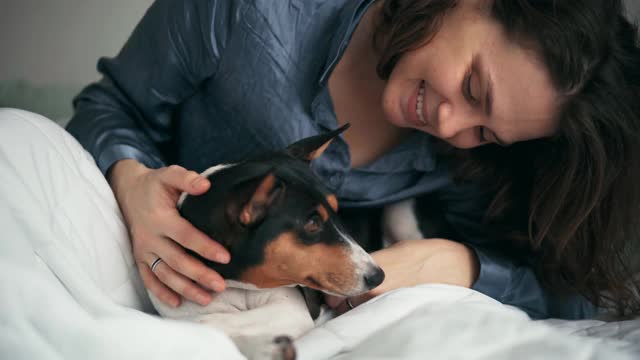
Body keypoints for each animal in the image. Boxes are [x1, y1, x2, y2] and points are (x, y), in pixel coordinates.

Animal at [149, 124, 384, 360]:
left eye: (337, 211)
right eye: (312, 223)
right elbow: (211, 325)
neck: (238, 288)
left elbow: (218, 324)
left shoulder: (288, 307)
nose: (378, 277)